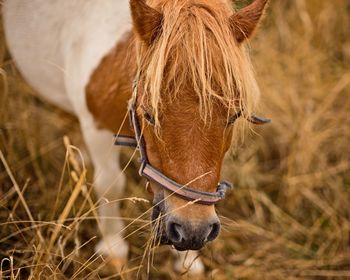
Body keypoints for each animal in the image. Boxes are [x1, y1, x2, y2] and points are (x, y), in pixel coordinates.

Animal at [3, 0, 268, 274]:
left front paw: (187, 261)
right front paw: (112, 250)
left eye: (234, 115)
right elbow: (110, 184)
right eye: (149, 114)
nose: (194, 230)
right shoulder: (96, 128)